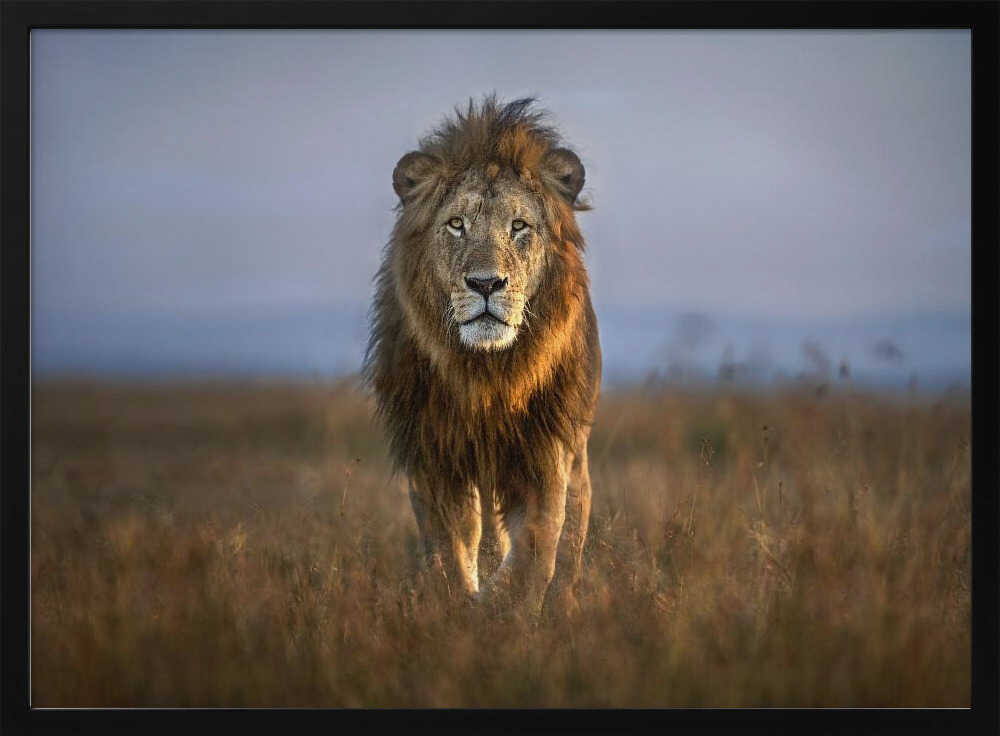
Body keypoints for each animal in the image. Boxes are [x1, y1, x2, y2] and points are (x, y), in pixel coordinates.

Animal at [364, 96, 601, 613]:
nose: (486, 284)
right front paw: (460, 605)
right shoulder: (433, 453)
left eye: (519, 226)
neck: (487, 372)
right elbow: (451, 546)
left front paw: (503, 608)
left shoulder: (545, 451)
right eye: (457, 224)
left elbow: (536, 546)